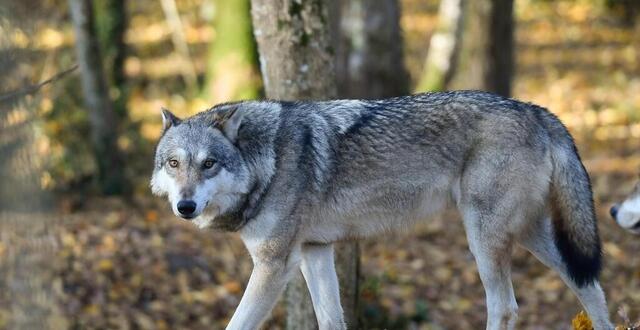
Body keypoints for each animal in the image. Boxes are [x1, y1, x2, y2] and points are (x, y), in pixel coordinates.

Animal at [151, 91, 616, 330]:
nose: (186, 206)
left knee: (505, 306)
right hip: (531, 235)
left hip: (484, 239)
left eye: (208, 163)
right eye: (173, 163)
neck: (268, 160)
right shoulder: (316, 252)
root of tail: (537, 110)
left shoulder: (274, 264)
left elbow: (238, 323)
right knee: (590, 285)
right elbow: (331, 319)